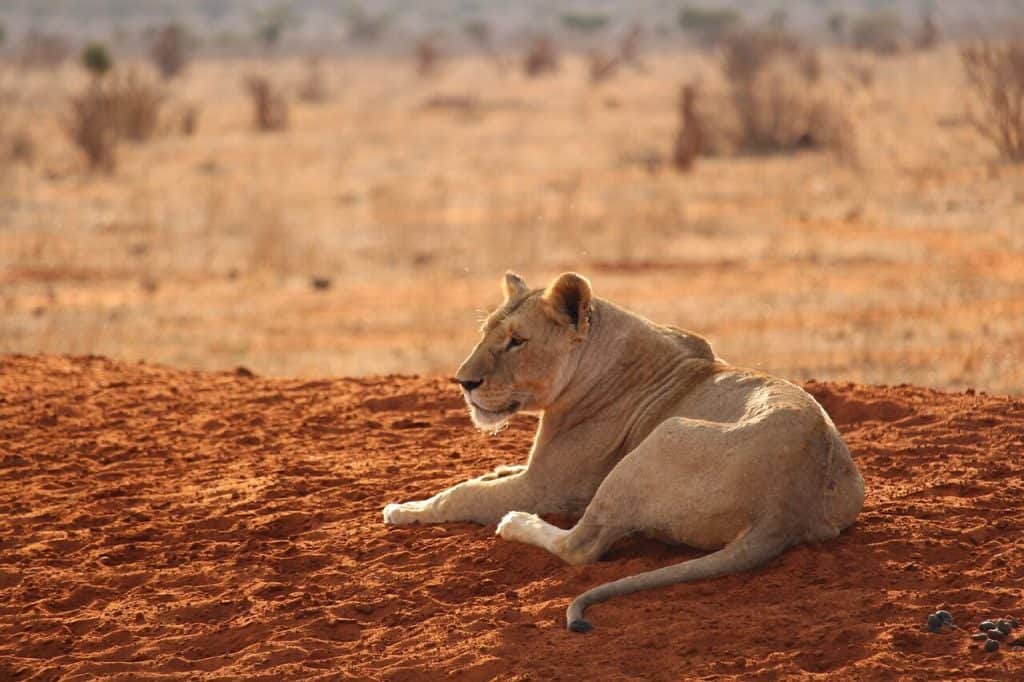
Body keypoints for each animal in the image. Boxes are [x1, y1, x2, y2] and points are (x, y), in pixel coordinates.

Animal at [383, 271, 865, 632]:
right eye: (485, 334)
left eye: (518, 341)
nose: (464, 382)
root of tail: (784, 508)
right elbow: (486, 476)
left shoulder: (547, 488)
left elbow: (460, 494)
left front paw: (405, 509)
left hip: (662, 438)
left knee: (580, 545)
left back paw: (517, 524)